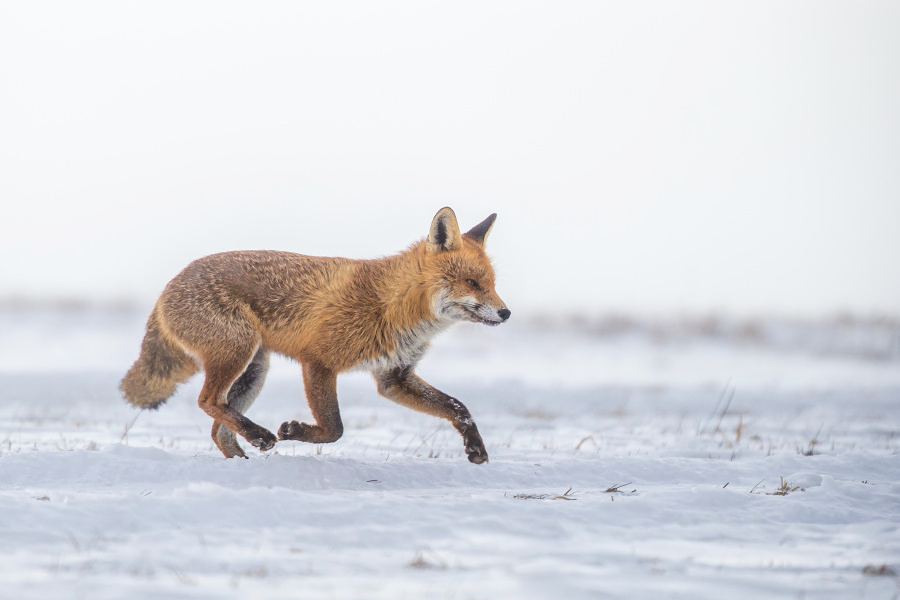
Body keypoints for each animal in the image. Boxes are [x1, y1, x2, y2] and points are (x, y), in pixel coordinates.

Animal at [120, 209, 510, 466]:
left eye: (492, 284)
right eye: (472, 283)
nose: (505, 313)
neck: (393, 304)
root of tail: (167, 288)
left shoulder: (394, 377)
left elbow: (458, 407)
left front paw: (475, 447)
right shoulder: (319, 362)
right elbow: (335, 428)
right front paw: (295, 431)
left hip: (253, 370)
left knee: (218, 428)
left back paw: (243, 461)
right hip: (237, 352)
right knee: (207, 402)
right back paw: (260, 436)